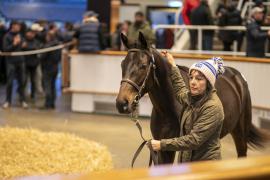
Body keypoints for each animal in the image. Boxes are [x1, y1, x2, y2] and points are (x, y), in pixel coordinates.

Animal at [116, 32, 268, 165]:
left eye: (142, 66)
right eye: (122, 64)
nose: (122, 103)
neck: (168, 108)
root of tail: (237, 77)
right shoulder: (162, 148)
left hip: (240, 134)